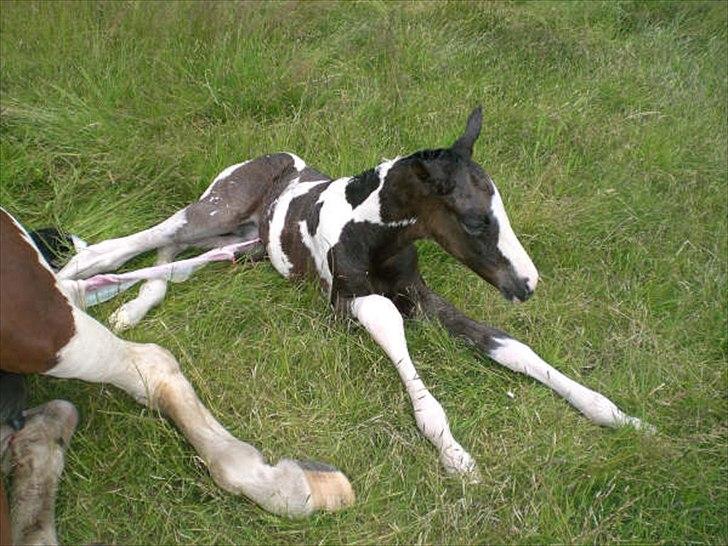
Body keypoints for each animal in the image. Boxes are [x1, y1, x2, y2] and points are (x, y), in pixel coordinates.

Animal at [59, 107, 656, 476]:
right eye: (475, 220)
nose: (527, 285)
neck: (370, 233)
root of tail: (261, 157)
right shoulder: (353, 301)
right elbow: (396, 339)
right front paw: (456, 457)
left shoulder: (422, 297)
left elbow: (510, 347)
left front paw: (623, 419)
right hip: (213, 212)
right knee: (134, 242)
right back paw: (75, 280)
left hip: (240, 244)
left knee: (177, 261)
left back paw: (129, 309)